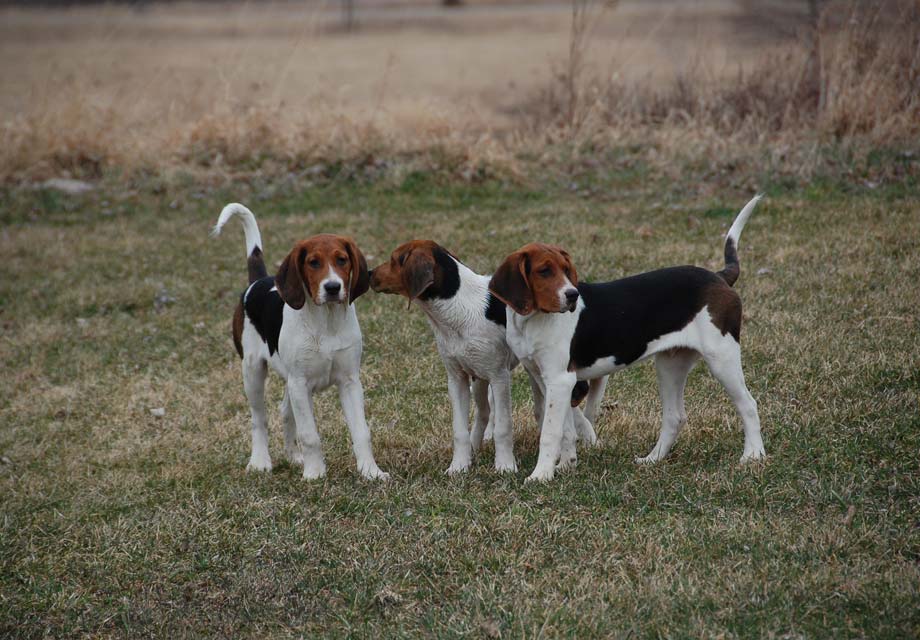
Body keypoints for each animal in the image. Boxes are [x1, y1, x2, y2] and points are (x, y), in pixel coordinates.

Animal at [212, 204, 388, 480]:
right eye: (313, 262)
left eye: (342, 260)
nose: (332, 287)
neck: (326, 321)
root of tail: (257, 281)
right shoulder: (300, 382)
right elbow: (310, 435)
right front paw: (315, 473)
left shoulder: (349, 381)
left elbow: (361, 432)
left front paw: (371, 471)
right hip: (253, 372)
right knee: (259, 418)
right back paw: (260, 461)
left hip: (291, 383)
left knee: (285, 413)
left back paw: (294, 456)